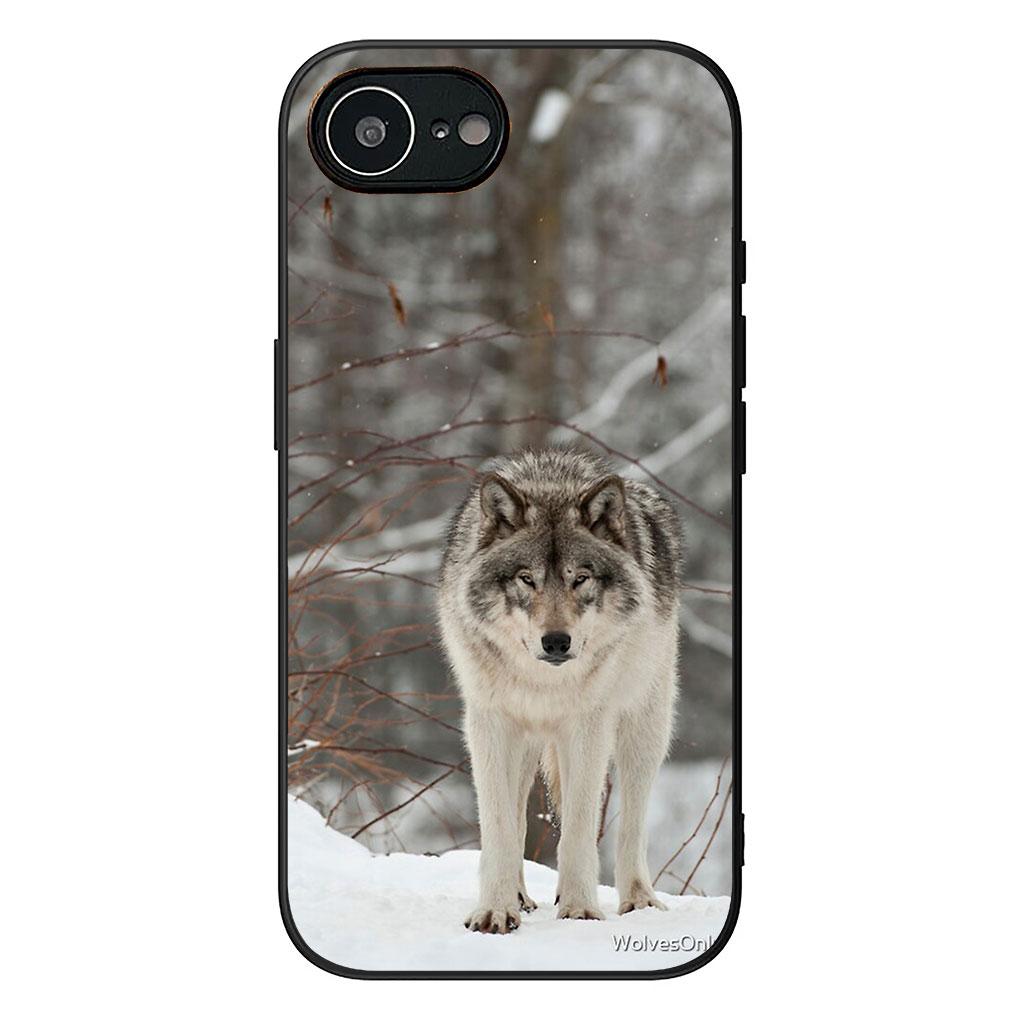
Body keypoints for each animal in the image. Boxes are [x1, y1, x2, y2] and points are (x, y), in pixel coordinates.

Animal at [438, 448, 682, 933]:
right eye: (527, 579)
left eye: (580, 578)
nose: (556, 642)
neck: (543, 682)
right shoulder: (489, 723)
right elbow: (499, 827)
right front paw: (495, 910)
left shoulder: (587, 727)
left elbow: (579, 828)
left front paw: (580, 909)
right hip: (525, 740)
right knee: (516, 816)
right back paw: (518, 897)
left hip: (645, 727)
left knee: (632, 824)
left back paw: (639, 901)